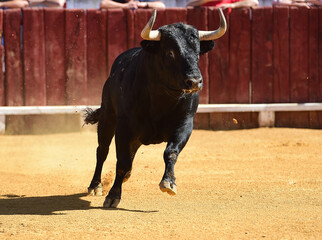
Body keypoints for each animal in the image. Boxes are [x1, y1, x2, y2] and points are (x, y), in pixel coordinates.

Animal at [84, 8, 228, 208]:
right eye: (170, 53)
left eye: (198, 52)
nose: (194, 82)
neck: (162, 99)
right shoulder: (123, 127)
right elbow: (121, 161)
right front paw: (113, 196)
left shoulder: (185, 124)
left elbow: (171, 152)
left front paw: (169, 182)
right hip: (107, 117)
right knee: (102, 151)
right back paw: (95, 186)